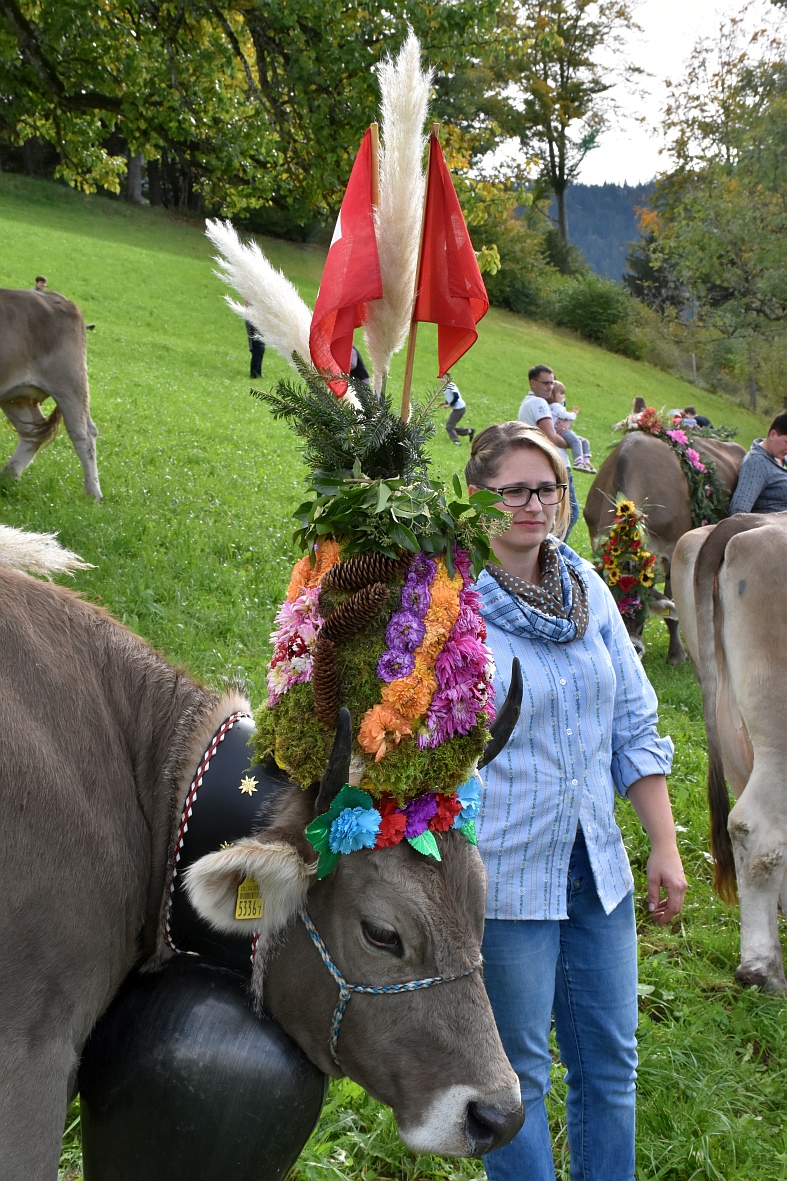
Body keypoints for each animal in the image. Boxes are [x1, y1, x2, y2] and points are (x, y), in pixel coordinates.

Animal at [0, 292, 101, 500]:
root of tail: (56, 297)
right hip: (16, 395)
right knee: (33, 431)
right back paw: (7, 476)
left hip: (70, 383)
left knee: (84, 434)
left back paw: (94, 494)